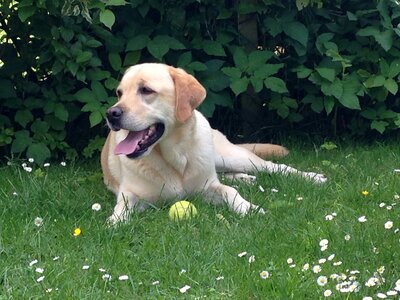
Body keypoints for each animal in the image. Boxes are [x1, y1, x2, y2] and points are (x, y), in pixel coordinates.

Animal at [99, 63, 324, 224]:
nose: (111, 114)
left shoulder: (209, 187)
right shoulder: (131, 194)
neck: (176, 157)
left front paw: (250, 208)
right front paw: (115, 222)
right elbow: (123, 205)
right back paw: (244, 178)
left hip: (231, 157)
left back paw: (312, 177)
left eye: (146, 90)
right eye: (120, 93)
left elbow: (230, 192)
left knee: (274, 167)